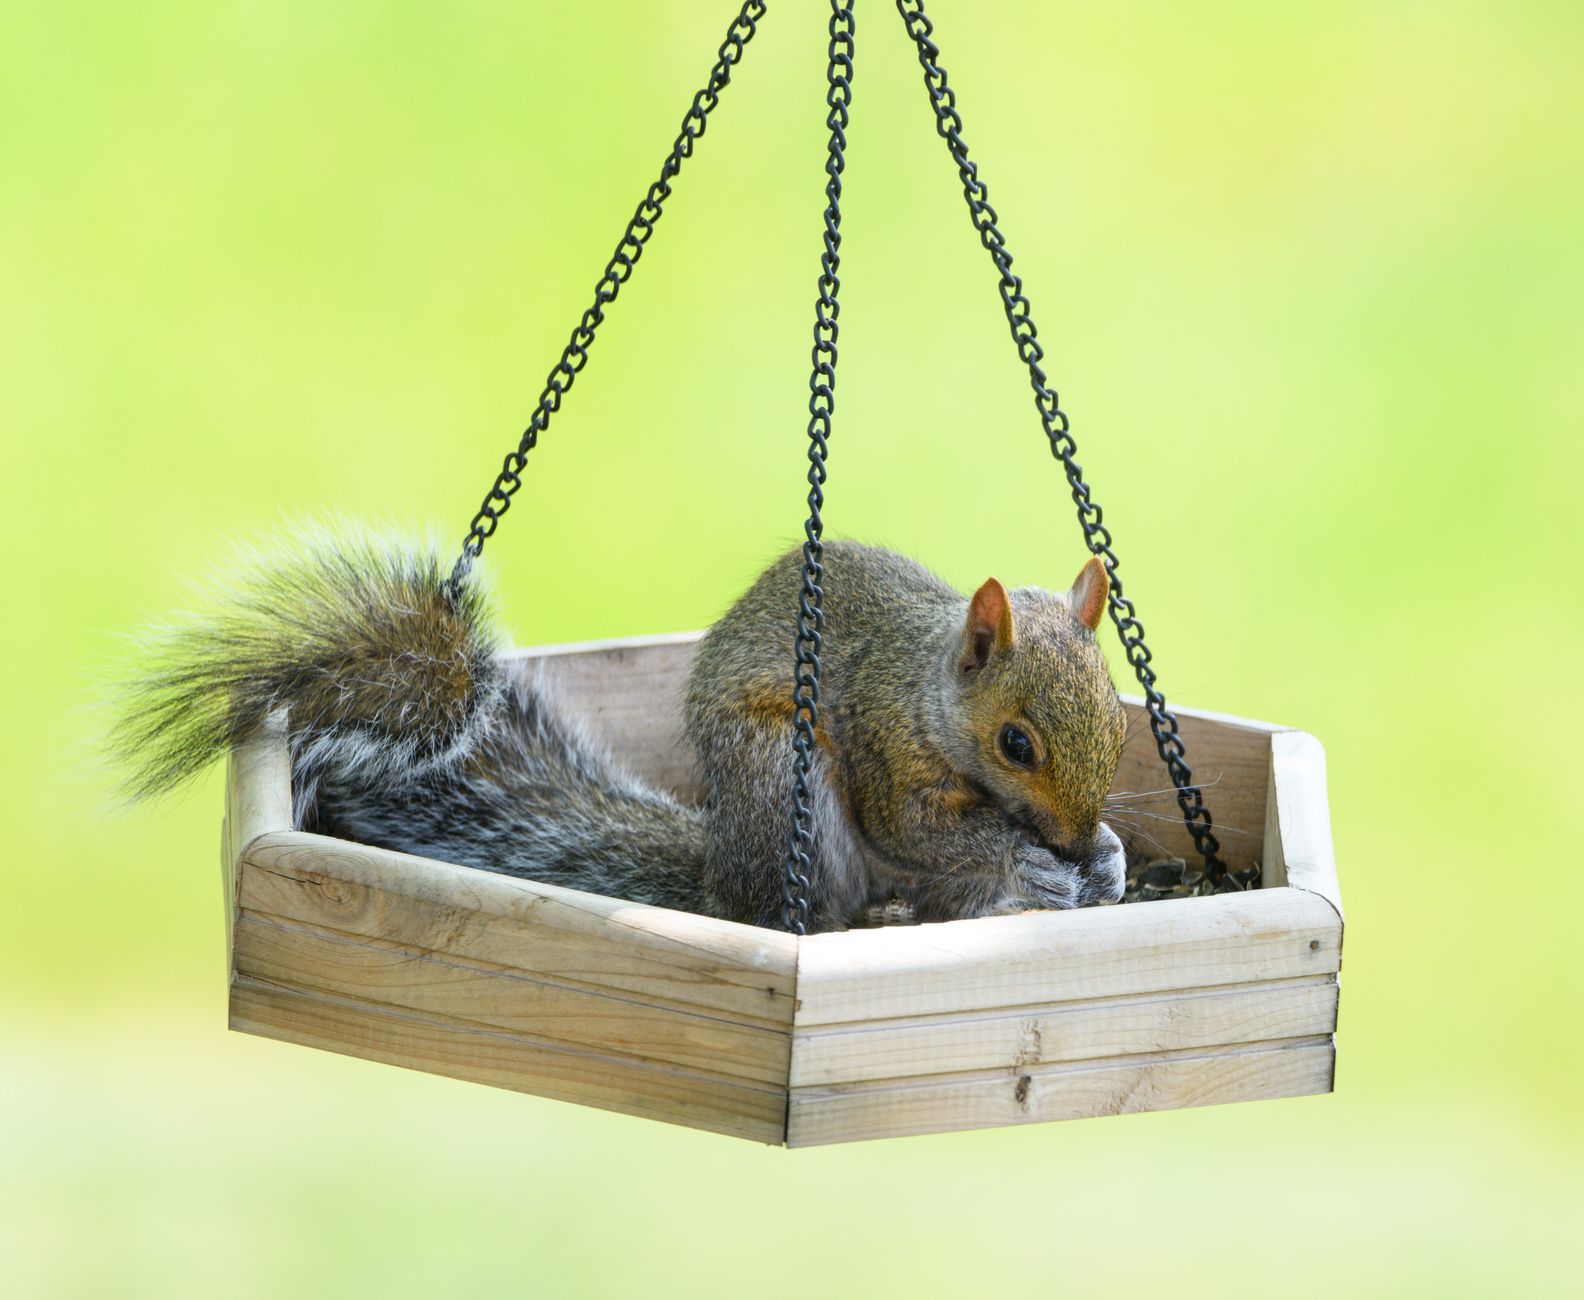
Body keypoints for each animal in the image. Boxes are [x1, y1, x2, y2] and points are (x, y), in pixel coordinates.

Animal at [114, 530, 1127, 932]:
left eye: (1121, 728)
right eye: (1016, 744)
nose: (1076, 841)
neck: (929, 691)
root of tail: (718, 876)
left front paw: (1110, 859)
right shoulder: (883, 739)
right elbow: (916, 827)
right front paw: (1024, 858)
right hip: (779, 779)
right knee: (811, 911)